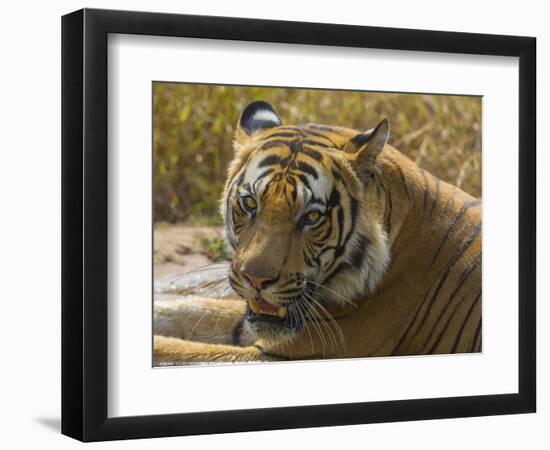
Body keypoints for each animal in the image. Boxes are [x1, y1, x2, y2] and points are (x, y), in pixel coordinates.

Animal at [152, 100, 484, 364]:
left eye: (311, 216)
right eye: (250, 203)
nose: (256, 280)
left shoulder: (291, 351)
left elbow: (181, 351)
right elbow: (197, 309)